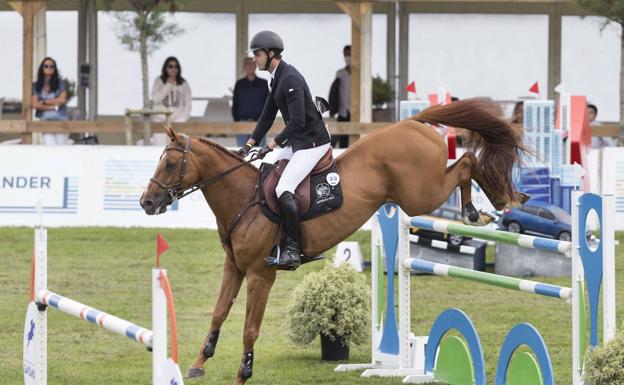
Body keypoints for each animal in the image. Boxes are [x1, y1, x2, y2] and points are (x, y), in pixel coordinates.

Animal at [140, 97, 528, 382]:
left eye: (170, 165)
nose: (147, 203)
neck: (243, 200)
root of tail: (414, 123)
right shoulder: (233, 266)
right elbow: (219, 313)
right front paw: (198, 364)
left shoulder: (260, 275)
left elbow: (250, 328)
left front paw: (243, 374)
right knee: (466, 163)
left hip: (421, 195)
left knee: (467, 163)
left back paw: (490, 205)